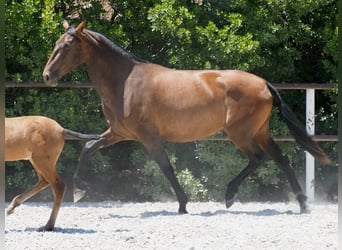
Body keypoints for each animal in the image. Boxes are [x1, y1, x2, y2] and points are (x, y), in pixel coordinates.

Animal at [41, 20, 330, 214]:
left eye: (67, 46)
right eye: (55, 44)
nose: (47, 75)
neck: (125, 82)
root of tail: (263, 84)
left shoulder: (148, 137)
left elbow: (166, 168)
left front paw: (182, 204)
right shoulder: (119, 133)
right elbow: (88, 147)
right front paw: (79, 189)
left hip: (240, 133)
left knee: (258, 158)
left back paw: (230, 195)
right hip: (260, 131)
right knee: (280, 160)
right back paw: (302, 204)